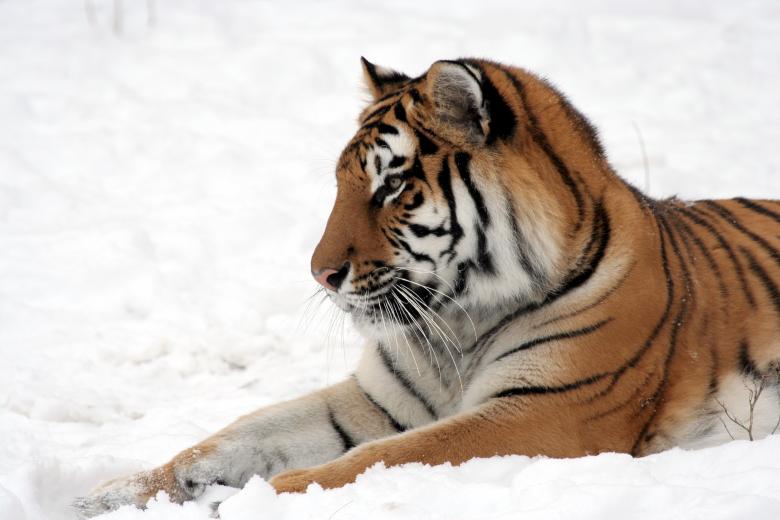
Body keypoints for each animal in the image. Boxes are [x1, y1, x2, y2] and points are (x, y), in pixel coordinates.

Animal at [76, 57, 780, 517]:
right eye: (342, 182)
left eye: (392, 185)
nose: (319, 274)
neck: (460, 325)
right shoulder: (374, 400)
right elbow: (236, 435)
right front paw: (113, 496)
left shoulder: (545, 412)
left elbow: (378, 460)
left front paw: (250, 505)